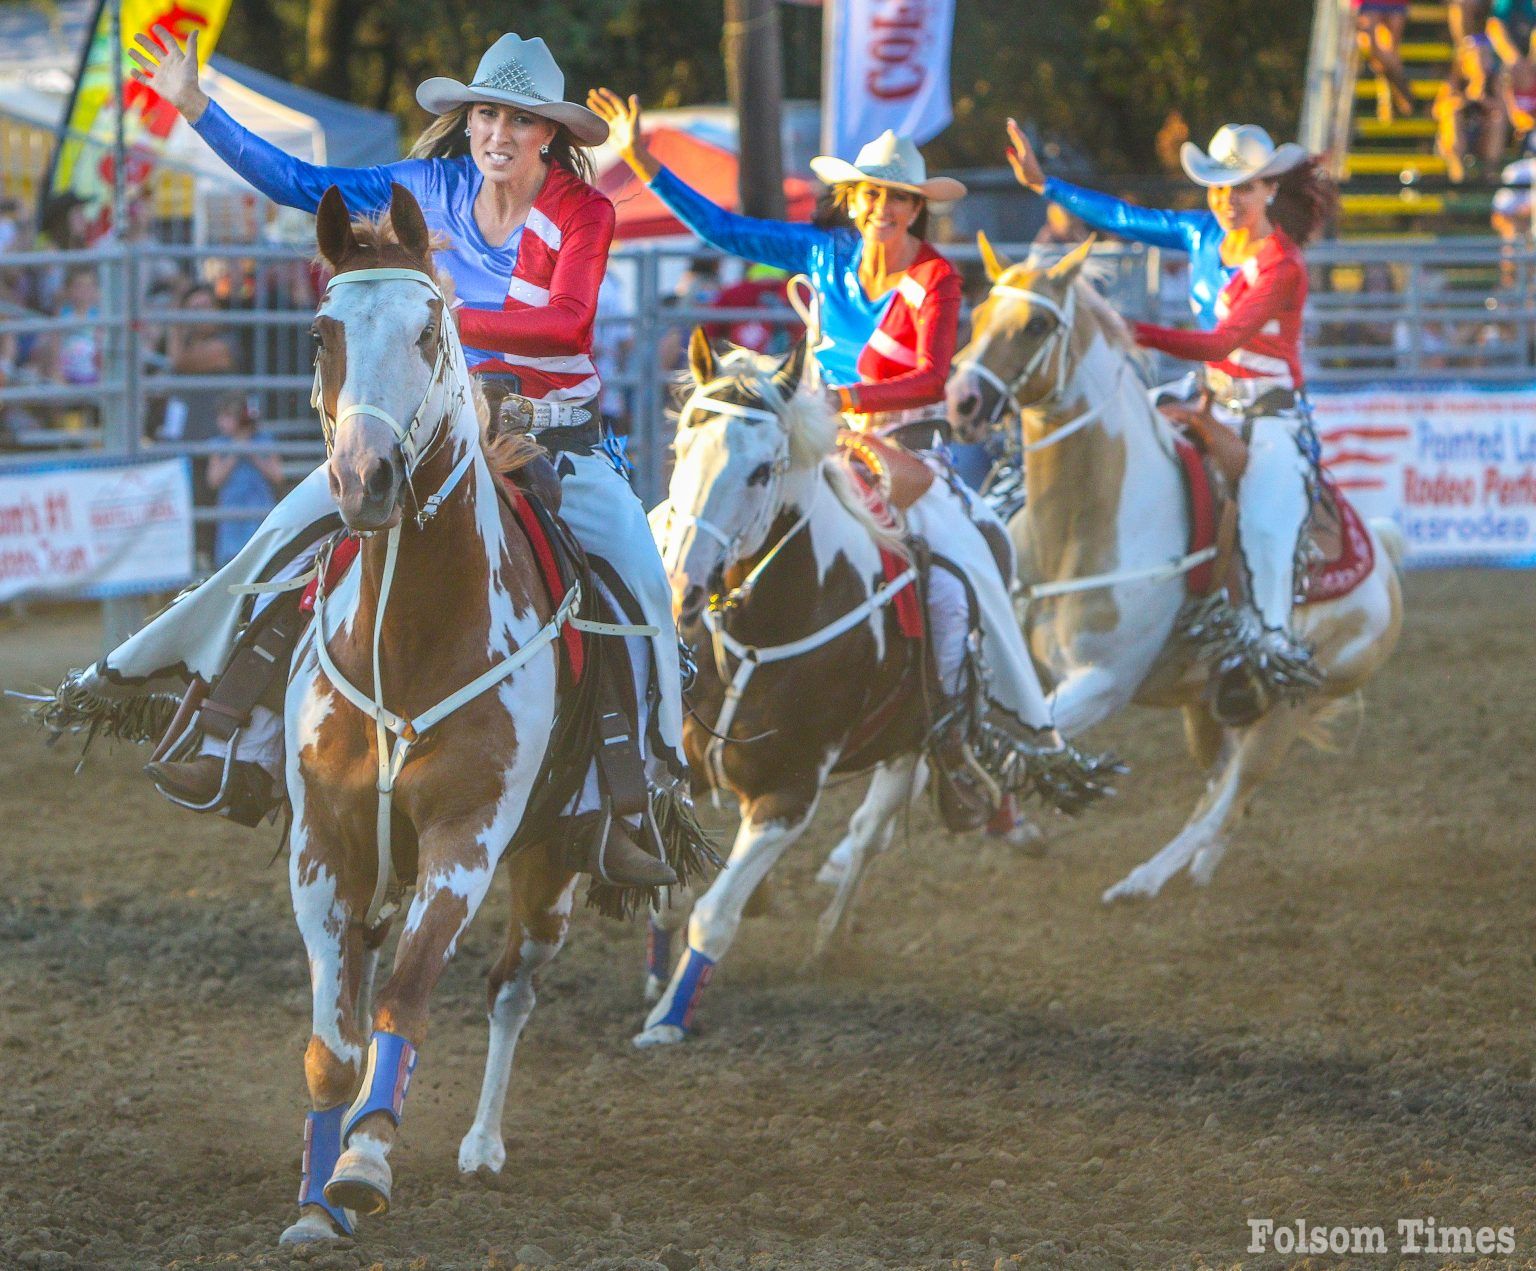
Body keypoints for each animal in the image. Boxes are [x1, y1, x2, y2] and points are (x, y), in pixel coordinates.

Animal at [946, 236, 1406, 903]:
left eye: (1035, 324)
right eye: (979, 313)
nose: (962, 401)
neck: (1080, 527)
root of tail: (1385, 567)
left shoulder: (1102, 683)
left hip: (1288, 709)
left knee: (1228, 798)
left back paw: (1142, 882)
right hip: (1211, 708)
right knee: (1222, 795)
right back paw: (1202, 869)